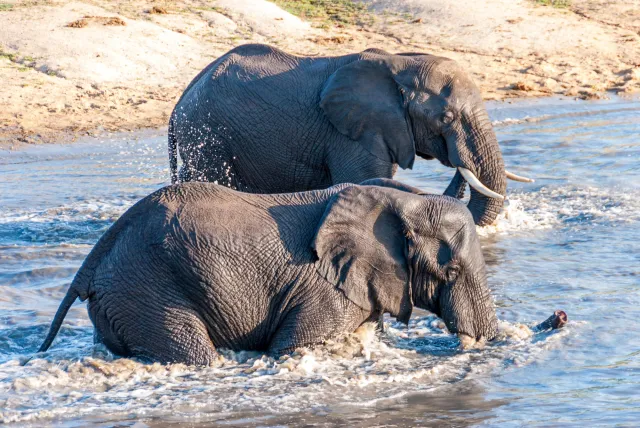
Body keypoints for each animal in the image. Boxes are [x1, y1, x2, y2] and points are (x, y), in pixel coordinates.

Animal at [36, 178, 500, 364]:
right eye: (450, 270)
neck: (402, 201)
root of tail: (93, 260)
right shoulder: (323, 291)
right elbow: (292, 349)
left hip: (121, 296)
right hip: (145, 289)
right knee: (192, 353)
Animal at [169, 43, 528, 227]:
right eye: (446, 118)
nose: (457, 159)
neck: (400, 62)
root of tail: (178, 104)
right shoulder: (351, 133)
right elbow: (365, 181)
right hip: (208, 136)